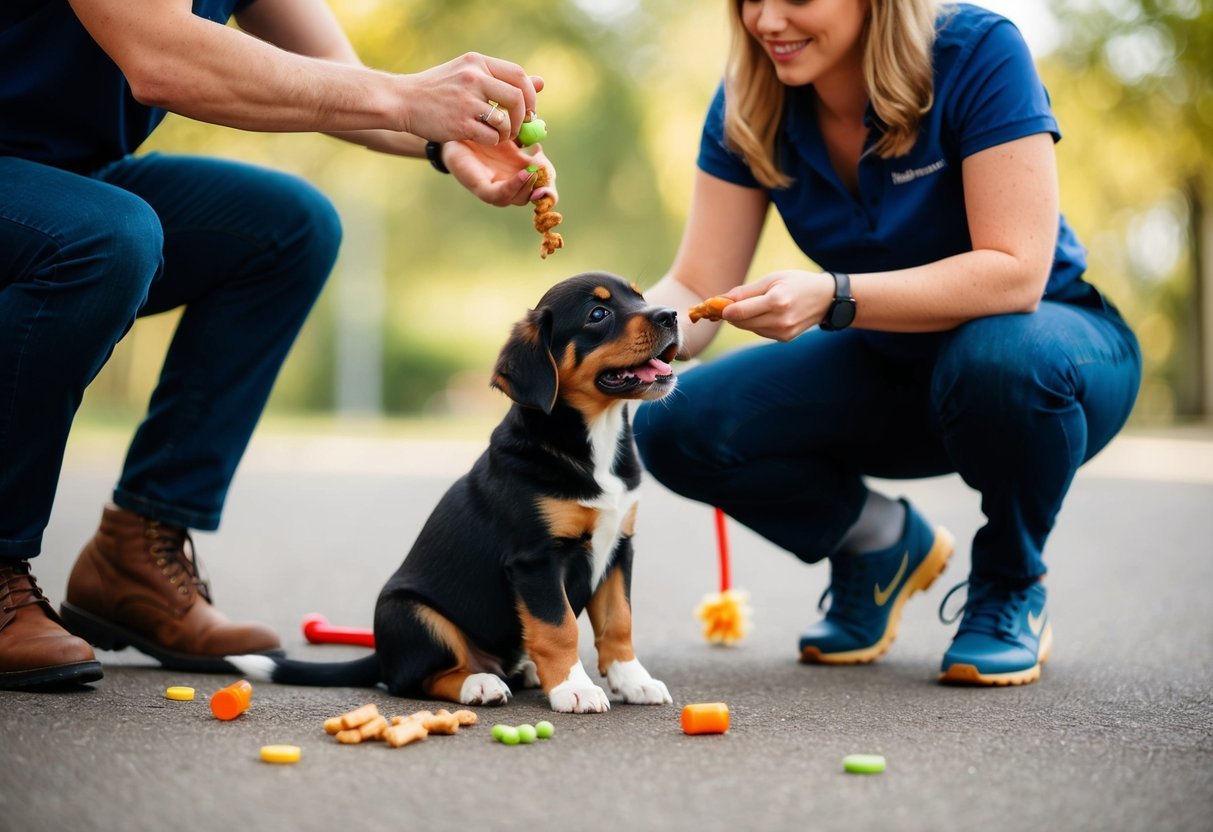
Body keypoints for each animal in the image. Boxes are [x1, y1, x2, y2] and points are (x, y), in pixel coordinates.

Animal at [231, 274, 679, 717]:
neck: (594, 440)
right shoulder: (536, 558)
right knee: (413, 680)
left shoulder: (618, 547)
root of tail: (382, 655)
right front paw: (574, 688)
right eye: (597, 314)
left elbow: (618, 621)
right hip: (411, 612)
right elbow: (559, 627)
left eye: (639, 296)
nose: (671, 315)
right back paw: (479, 683)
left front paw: (633, 681)